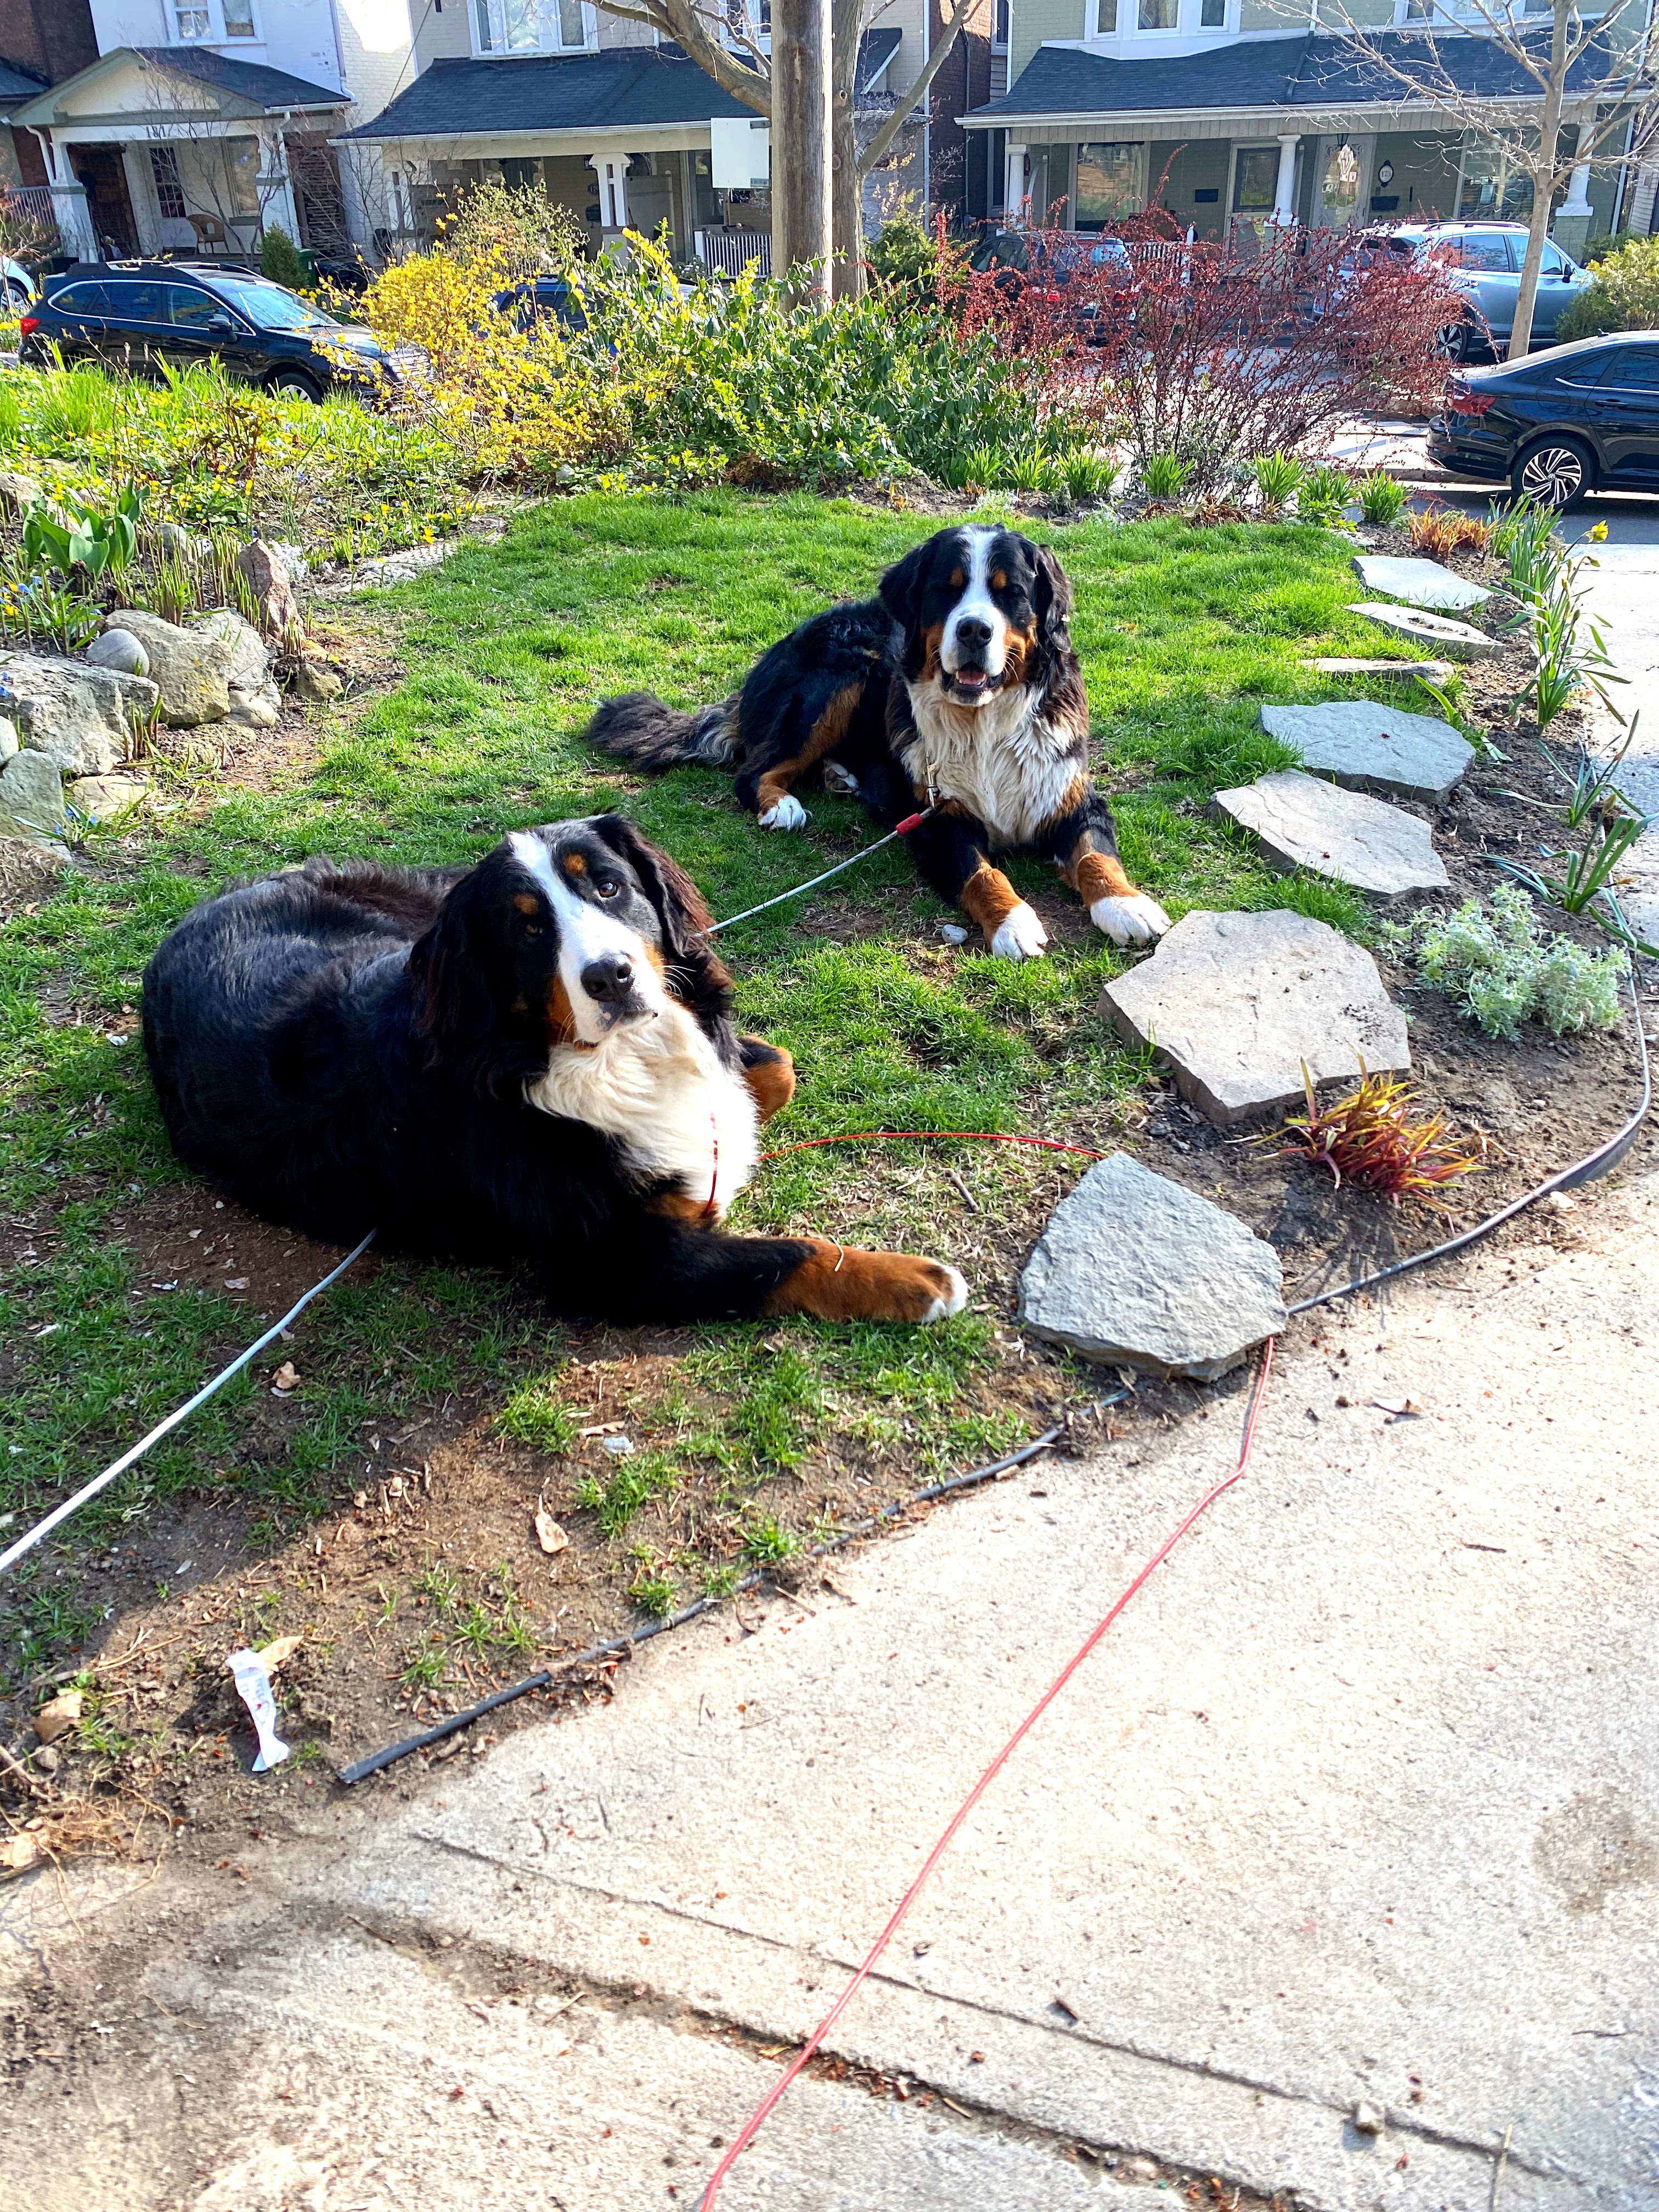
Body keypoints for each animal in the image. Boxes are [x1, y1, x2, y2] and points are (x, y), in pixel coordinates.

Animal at [148, 818, 973, 1318]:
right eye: (526, 927)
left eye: (608, 885)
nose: (611, 977)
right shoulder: (615, 1259)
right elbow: (789, 1255)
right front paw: (913, 1280)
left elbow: (771, 1071)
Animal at [592, 531, 1177, 964]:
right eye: (947, 589)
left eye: (1010, 593)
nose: (973, 630)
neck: (984, 725)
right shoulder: (939, 819)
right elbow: (983, 873)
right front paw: (1014, 921)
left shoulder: (1070, 795)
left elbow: (1095, 855)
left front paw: (1127, 906)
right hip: (844, 672)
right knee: (754, 771)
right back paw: (783, 805)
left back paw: (843, 777)